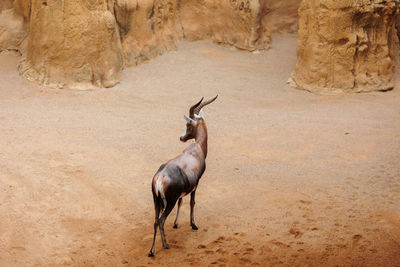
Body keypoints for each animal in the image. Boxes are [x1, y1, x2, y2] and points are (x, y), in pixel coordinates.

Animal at [147, 96, 217, 258]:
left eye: (188, 124)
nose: (181, 137)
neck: (196, 149)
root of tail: (160, 178)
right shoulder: (196, 184)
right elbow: (192, 202)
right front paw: (193, 225)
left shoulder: (183, 191)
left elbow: (181, 201)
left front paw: (176, 223)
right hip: (168, 202)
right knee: (161, 221)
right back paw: (166, 245)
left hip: (156, 201)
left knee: (155, 221)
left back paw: (152, 251)